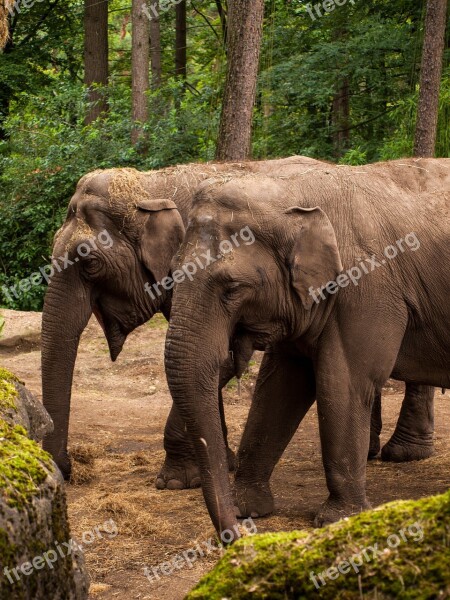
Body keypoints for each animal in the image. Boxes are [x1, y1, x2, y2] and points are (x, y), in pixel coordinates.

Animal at [43, 155, 442, 482]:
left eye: (89, 262)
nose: (66, 469)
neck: (153, 185)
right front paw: (222, 463)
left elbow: (221, 360)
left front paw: (176, 480)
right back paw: (379, 452)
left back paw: (402, 454)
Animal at [164, 157, 450, 536]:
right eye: (171, 273)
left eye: (233, 288)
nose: (236, 535)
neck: (292, 190)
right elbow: (278, 388)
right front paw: (249, 508)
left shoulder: (366, 289)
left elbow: (344, 383)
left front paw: (338, 519)